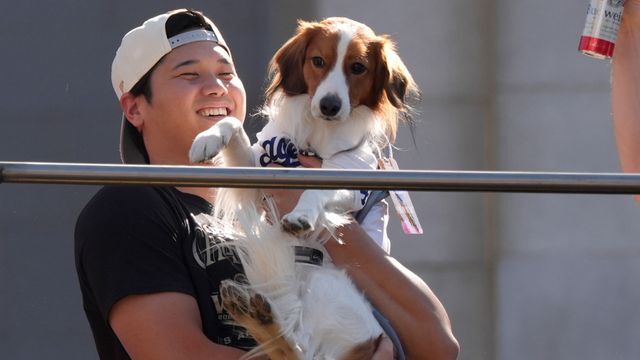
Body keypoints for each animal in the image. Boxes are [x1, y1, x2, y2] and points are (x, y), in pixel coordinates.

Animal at [189, 16, 420, 360]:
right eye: (318, 61)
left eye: (358, 67)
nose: (329, 105)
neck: (318, 136)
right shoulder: (258, 176)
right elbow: (232, 124)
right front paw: (207, 138)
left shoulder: (350, 177)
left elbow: (316, 190)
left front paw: (302, 217)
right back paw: (251, 310)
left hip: (326, 287)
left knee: (297, 351)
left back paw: (259, 316)